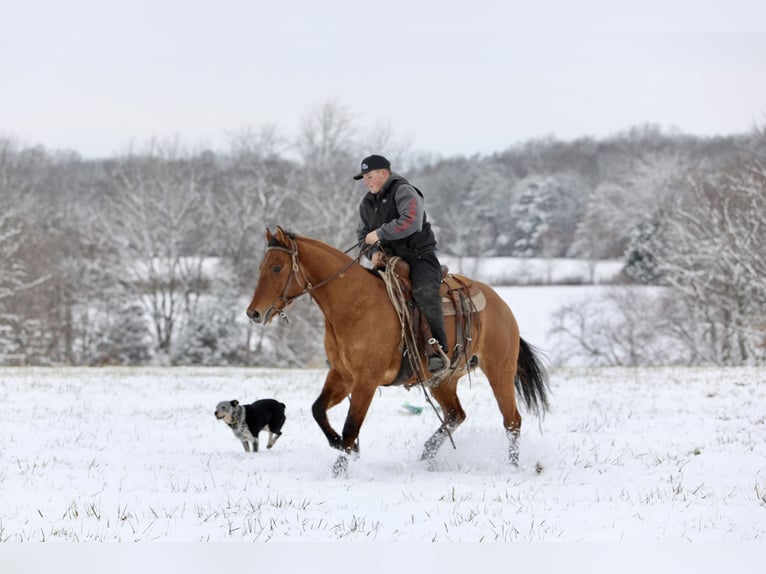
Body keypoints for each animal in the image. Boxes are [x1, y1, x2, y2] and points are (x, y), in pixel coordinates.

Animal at [246, 226, 549, 476]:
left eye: (277, 267)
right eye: (260, 266)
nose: (254, 313)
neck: (353, 303)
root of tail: (501, 305)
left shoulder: (366, 380)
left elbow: (351, 426)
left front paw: (340, 468)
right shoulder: (342, 375)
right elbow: (318, 410)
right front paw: (340, 445)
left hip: (500, 371)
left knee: (512, 421)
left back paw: (511, 467)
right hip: (443, 380)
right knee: (456, 415)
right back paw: (426, 455)